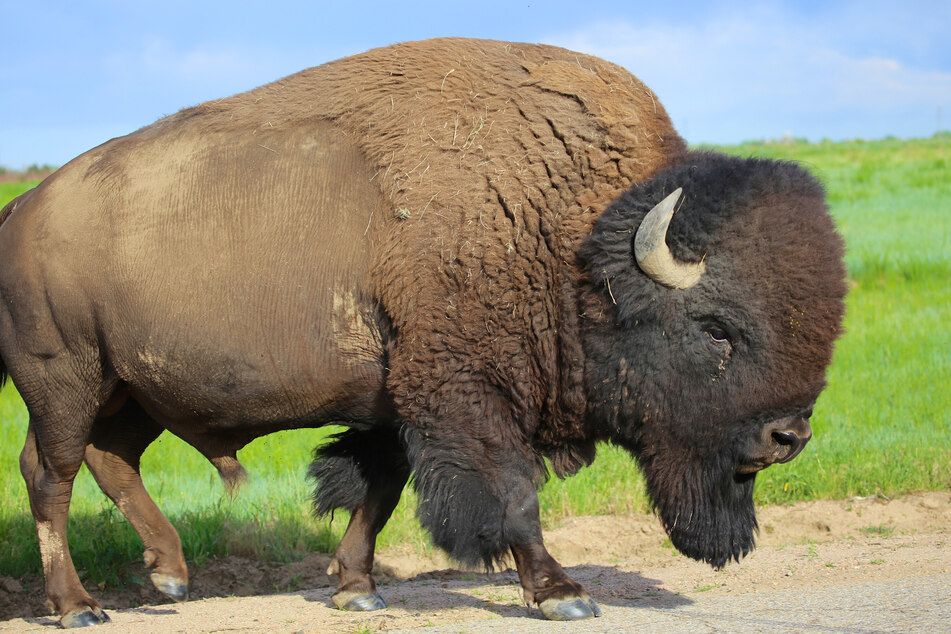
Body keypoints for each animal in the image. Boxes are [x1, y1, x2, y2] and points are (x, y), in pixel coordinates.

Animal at [0, 37, 848, 624]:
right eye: (715, 329)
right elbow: (510, 496)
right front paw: (562, 593)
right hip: (64, 378)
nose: (787, 437)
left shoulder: (394, 400)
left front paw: (355, 590)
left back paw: (170, 573)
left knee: (110, 460)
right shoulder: (466, 399)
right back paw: (78, 606)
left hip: (131, 389)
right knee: (51, 475)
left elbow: (377, 490)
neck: (564, 233)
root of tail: (23, 210)